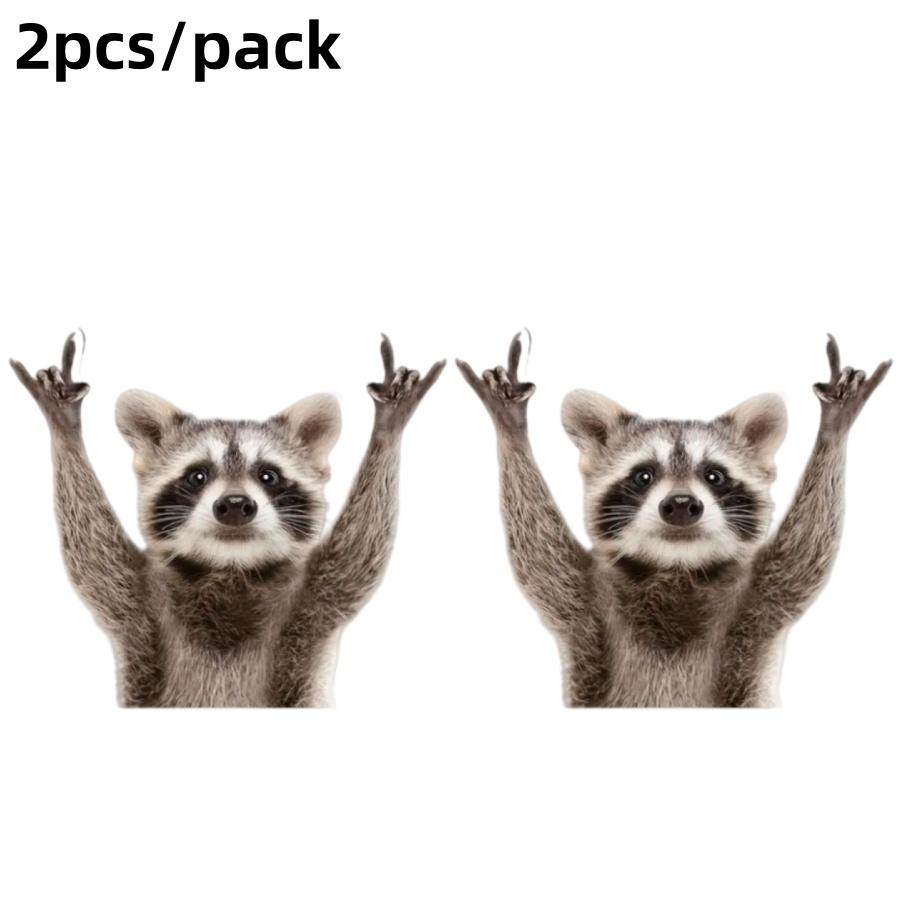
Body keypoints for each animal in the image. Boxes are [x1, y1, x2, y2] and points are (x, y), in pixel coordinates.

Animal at [11, 333, 444, 707]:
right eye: (198, 475)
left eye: (268, 476)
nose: (235, 504)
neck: (229, 567)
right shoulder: (137, 602)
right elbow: (92, 555)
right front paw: (65, 429)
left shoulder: (315, 600)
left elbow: (360, 552)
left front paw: (387, 428)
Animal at [458, 333, 890, 707]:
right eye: (643, 475)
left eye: (714, 476)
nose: (681, 504)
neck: (675, 567)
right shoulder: (583, 602)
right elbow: (538, 554)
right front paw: (512, 430)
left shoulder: (761, 600)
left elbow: (806, 551)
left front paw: (833, 429)